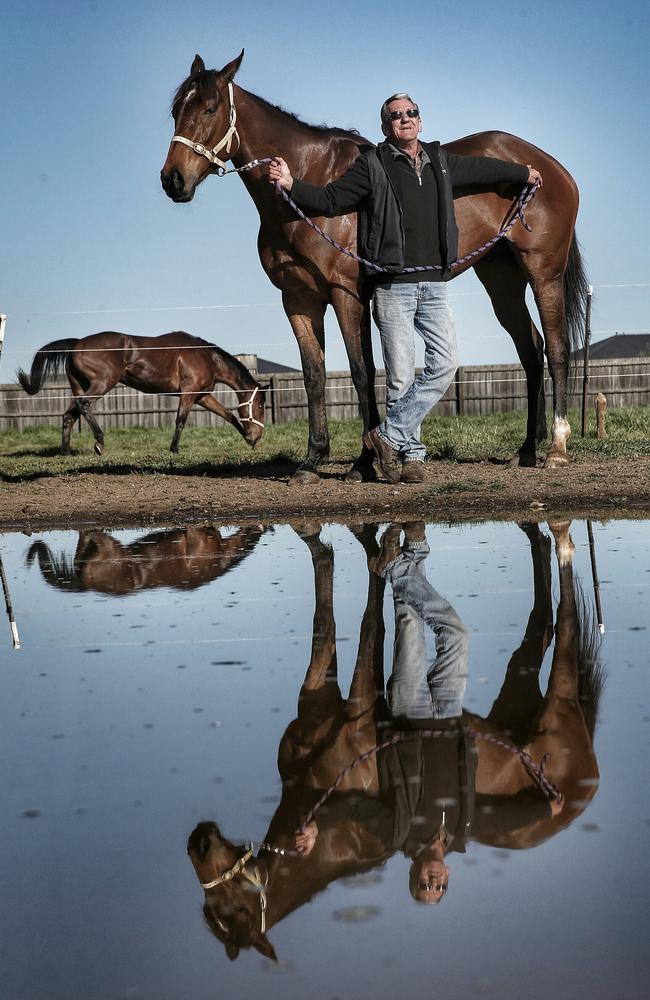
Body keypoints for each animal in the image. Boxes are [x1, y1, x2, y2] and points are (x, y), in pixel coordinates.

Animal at [17, 330, 266, 456]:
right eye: (261, 405)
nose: (257, 435)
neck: (205, 357)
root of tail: (76, 344)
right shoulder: (188, 394)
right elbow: (180, 421)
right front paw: (174, 449)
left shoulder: (202, 396)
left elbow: (229, 415)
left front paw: (248, 440)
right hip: (103, 382)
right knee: (84, 405)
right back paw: (99, 442)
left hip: (79, 386)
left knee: (69, 414)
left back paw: (66, 451)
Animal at [161, 51, 588, 484]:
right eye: (176, 111)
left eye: (210, 108)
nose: (172, 179)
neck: (310, 181)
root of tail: (548, 168)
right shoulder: (298, 300)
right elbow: (314, 376)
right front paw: (312, 461)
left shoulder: (346, 293)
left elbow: (361, 370)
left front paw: (365, 461)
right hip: (501, 280)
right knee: (531, 348)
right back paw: (526, 449)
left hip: (544, 273)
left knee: (557, 348)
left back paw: (557, 448)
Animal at [185, 520, 600, 956]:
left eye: (233, 910)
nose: (198, 843)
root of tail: (585, 783)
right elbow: (326, 616)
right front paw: (358, 541)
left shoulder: (361, 709)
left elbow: (366, 622)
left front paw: (377, 547)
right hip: (516, 701)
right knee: (540, 614)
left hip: (559, 704)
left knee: (565, 621)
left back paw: (562, 542)